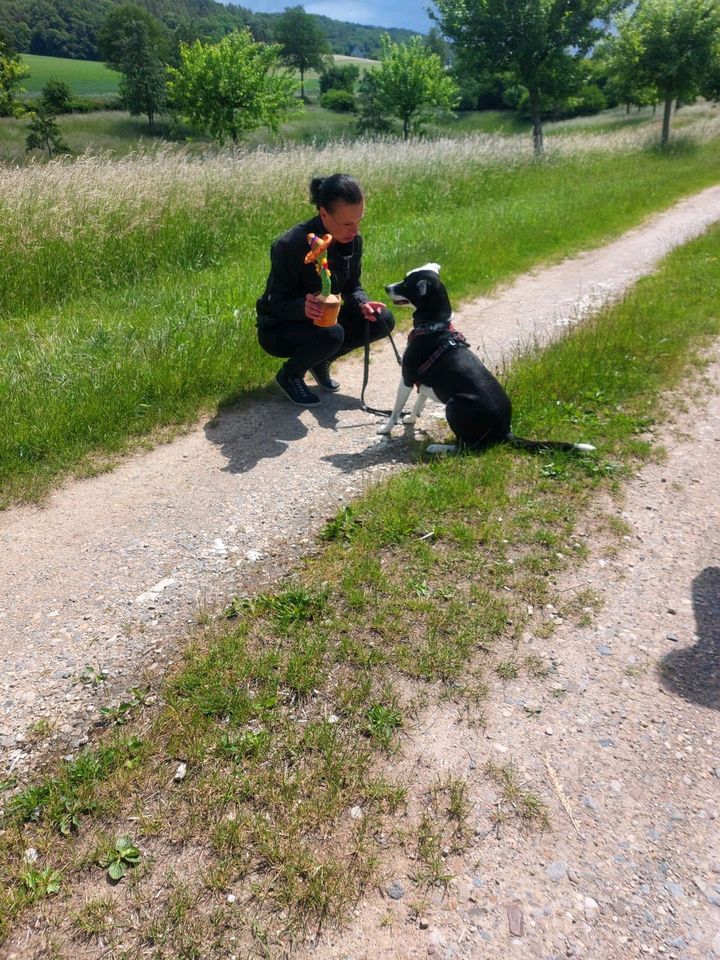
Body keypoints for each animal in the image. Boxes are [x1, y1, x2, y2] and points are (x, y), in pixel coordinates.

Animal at [376, 262, 596, 458]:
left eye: (406, 284)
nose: (386, 287)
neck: (434, 326)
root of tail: (505, 431)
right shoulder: (424, 380)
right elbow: (419, 401)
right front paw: (411, 419)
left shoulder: (407, 377)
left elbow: (396, 409)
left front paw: (386, 429)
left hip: (455, 404)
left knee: (466, 447)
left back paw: (438, 448)